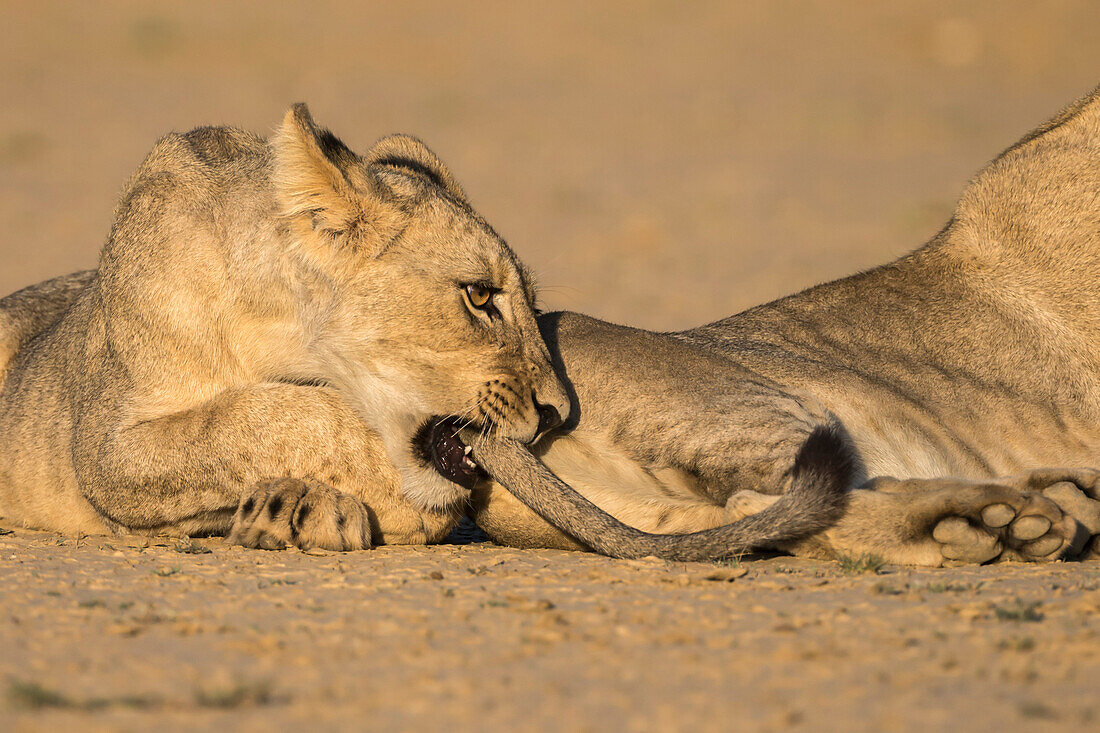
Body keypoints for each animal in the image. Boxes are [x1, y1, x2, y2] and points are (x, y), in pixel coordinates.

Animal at [0, 101, 849, 548]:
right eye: (478, 296)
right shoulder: (106, 444)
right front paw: (330, 500)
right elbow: (266, 416)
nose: (558, 413)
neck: (274, 330)